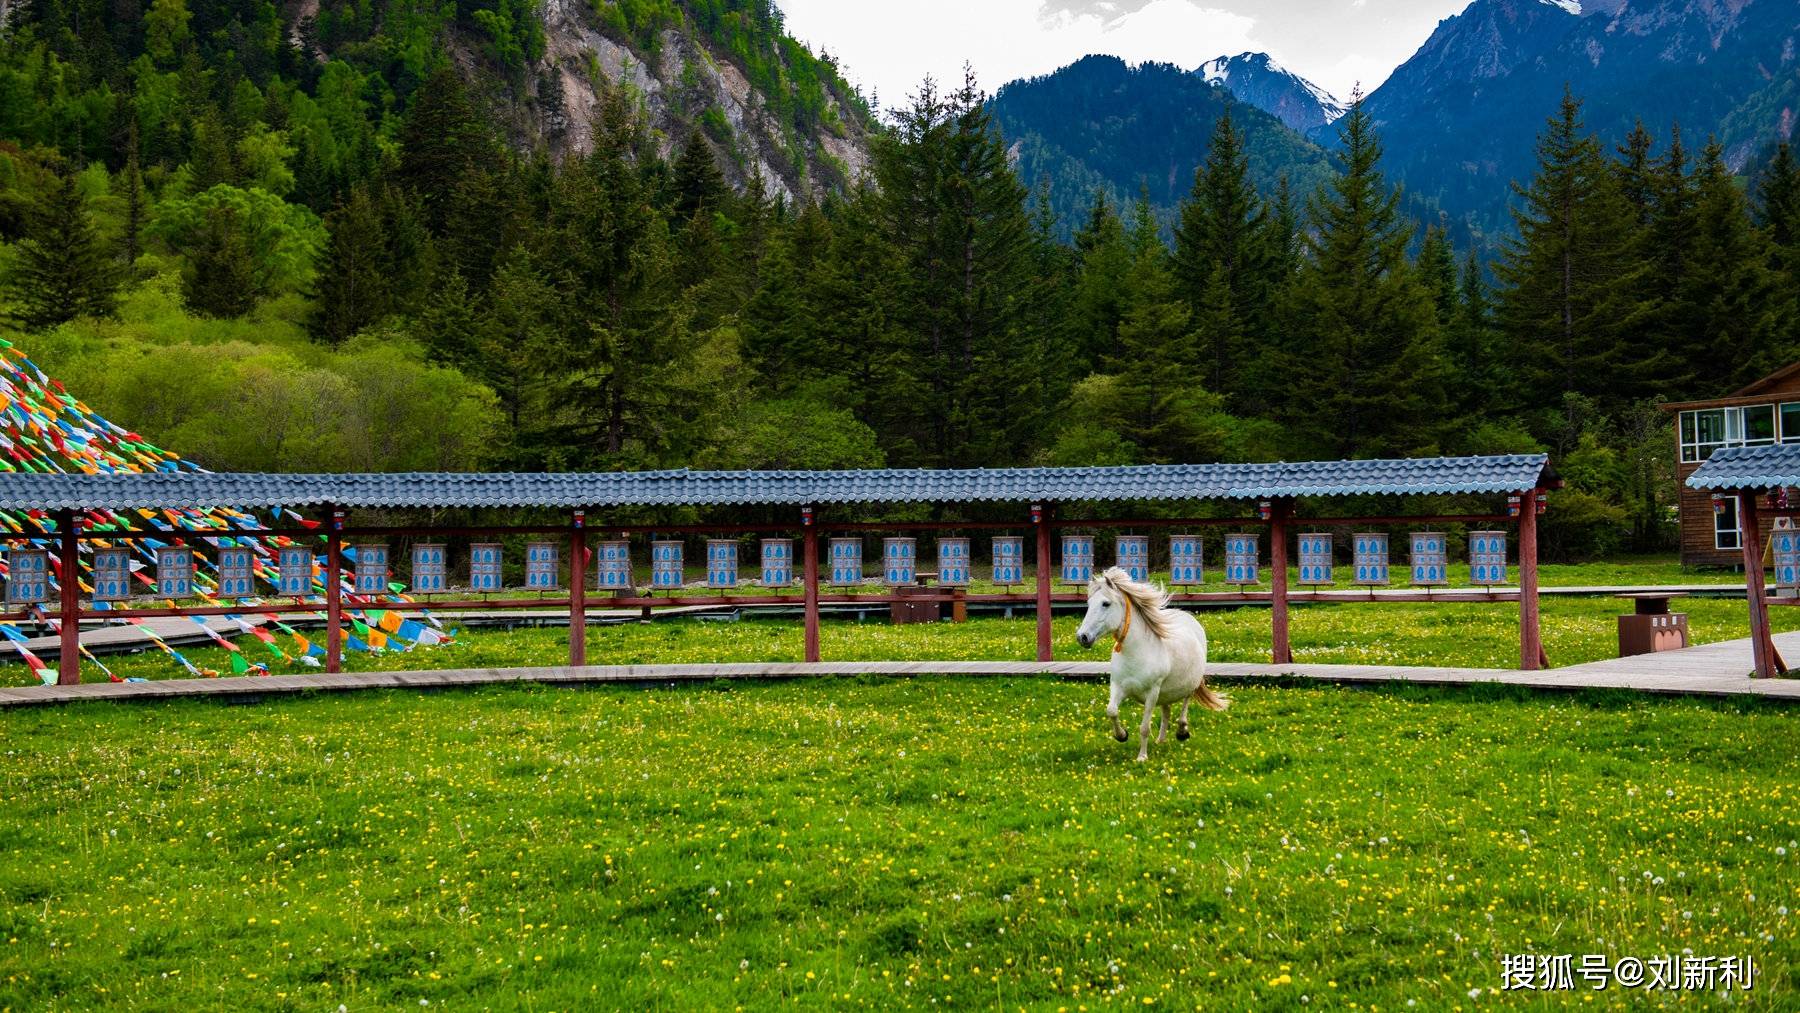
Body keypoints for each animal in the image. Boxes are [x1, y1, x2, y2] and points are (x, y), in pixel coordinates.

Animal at [1072, 572, 1231, 762]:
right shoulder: (1118, 686)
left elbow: (1144, 727)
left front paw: (1142, 757)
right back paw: (1160, 741)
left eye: (1106, 603)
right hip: (1166, 692)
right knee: (1166, 711)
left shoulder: (1152, 693)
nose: (1082, 637)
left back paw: (1182, 732)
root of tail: (1186, 616)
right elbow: (1111, 711)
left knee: (1185, 704)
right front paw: (1122, 735)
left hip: (1189, 684)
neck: (1136, 653)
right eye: (1089, 604)